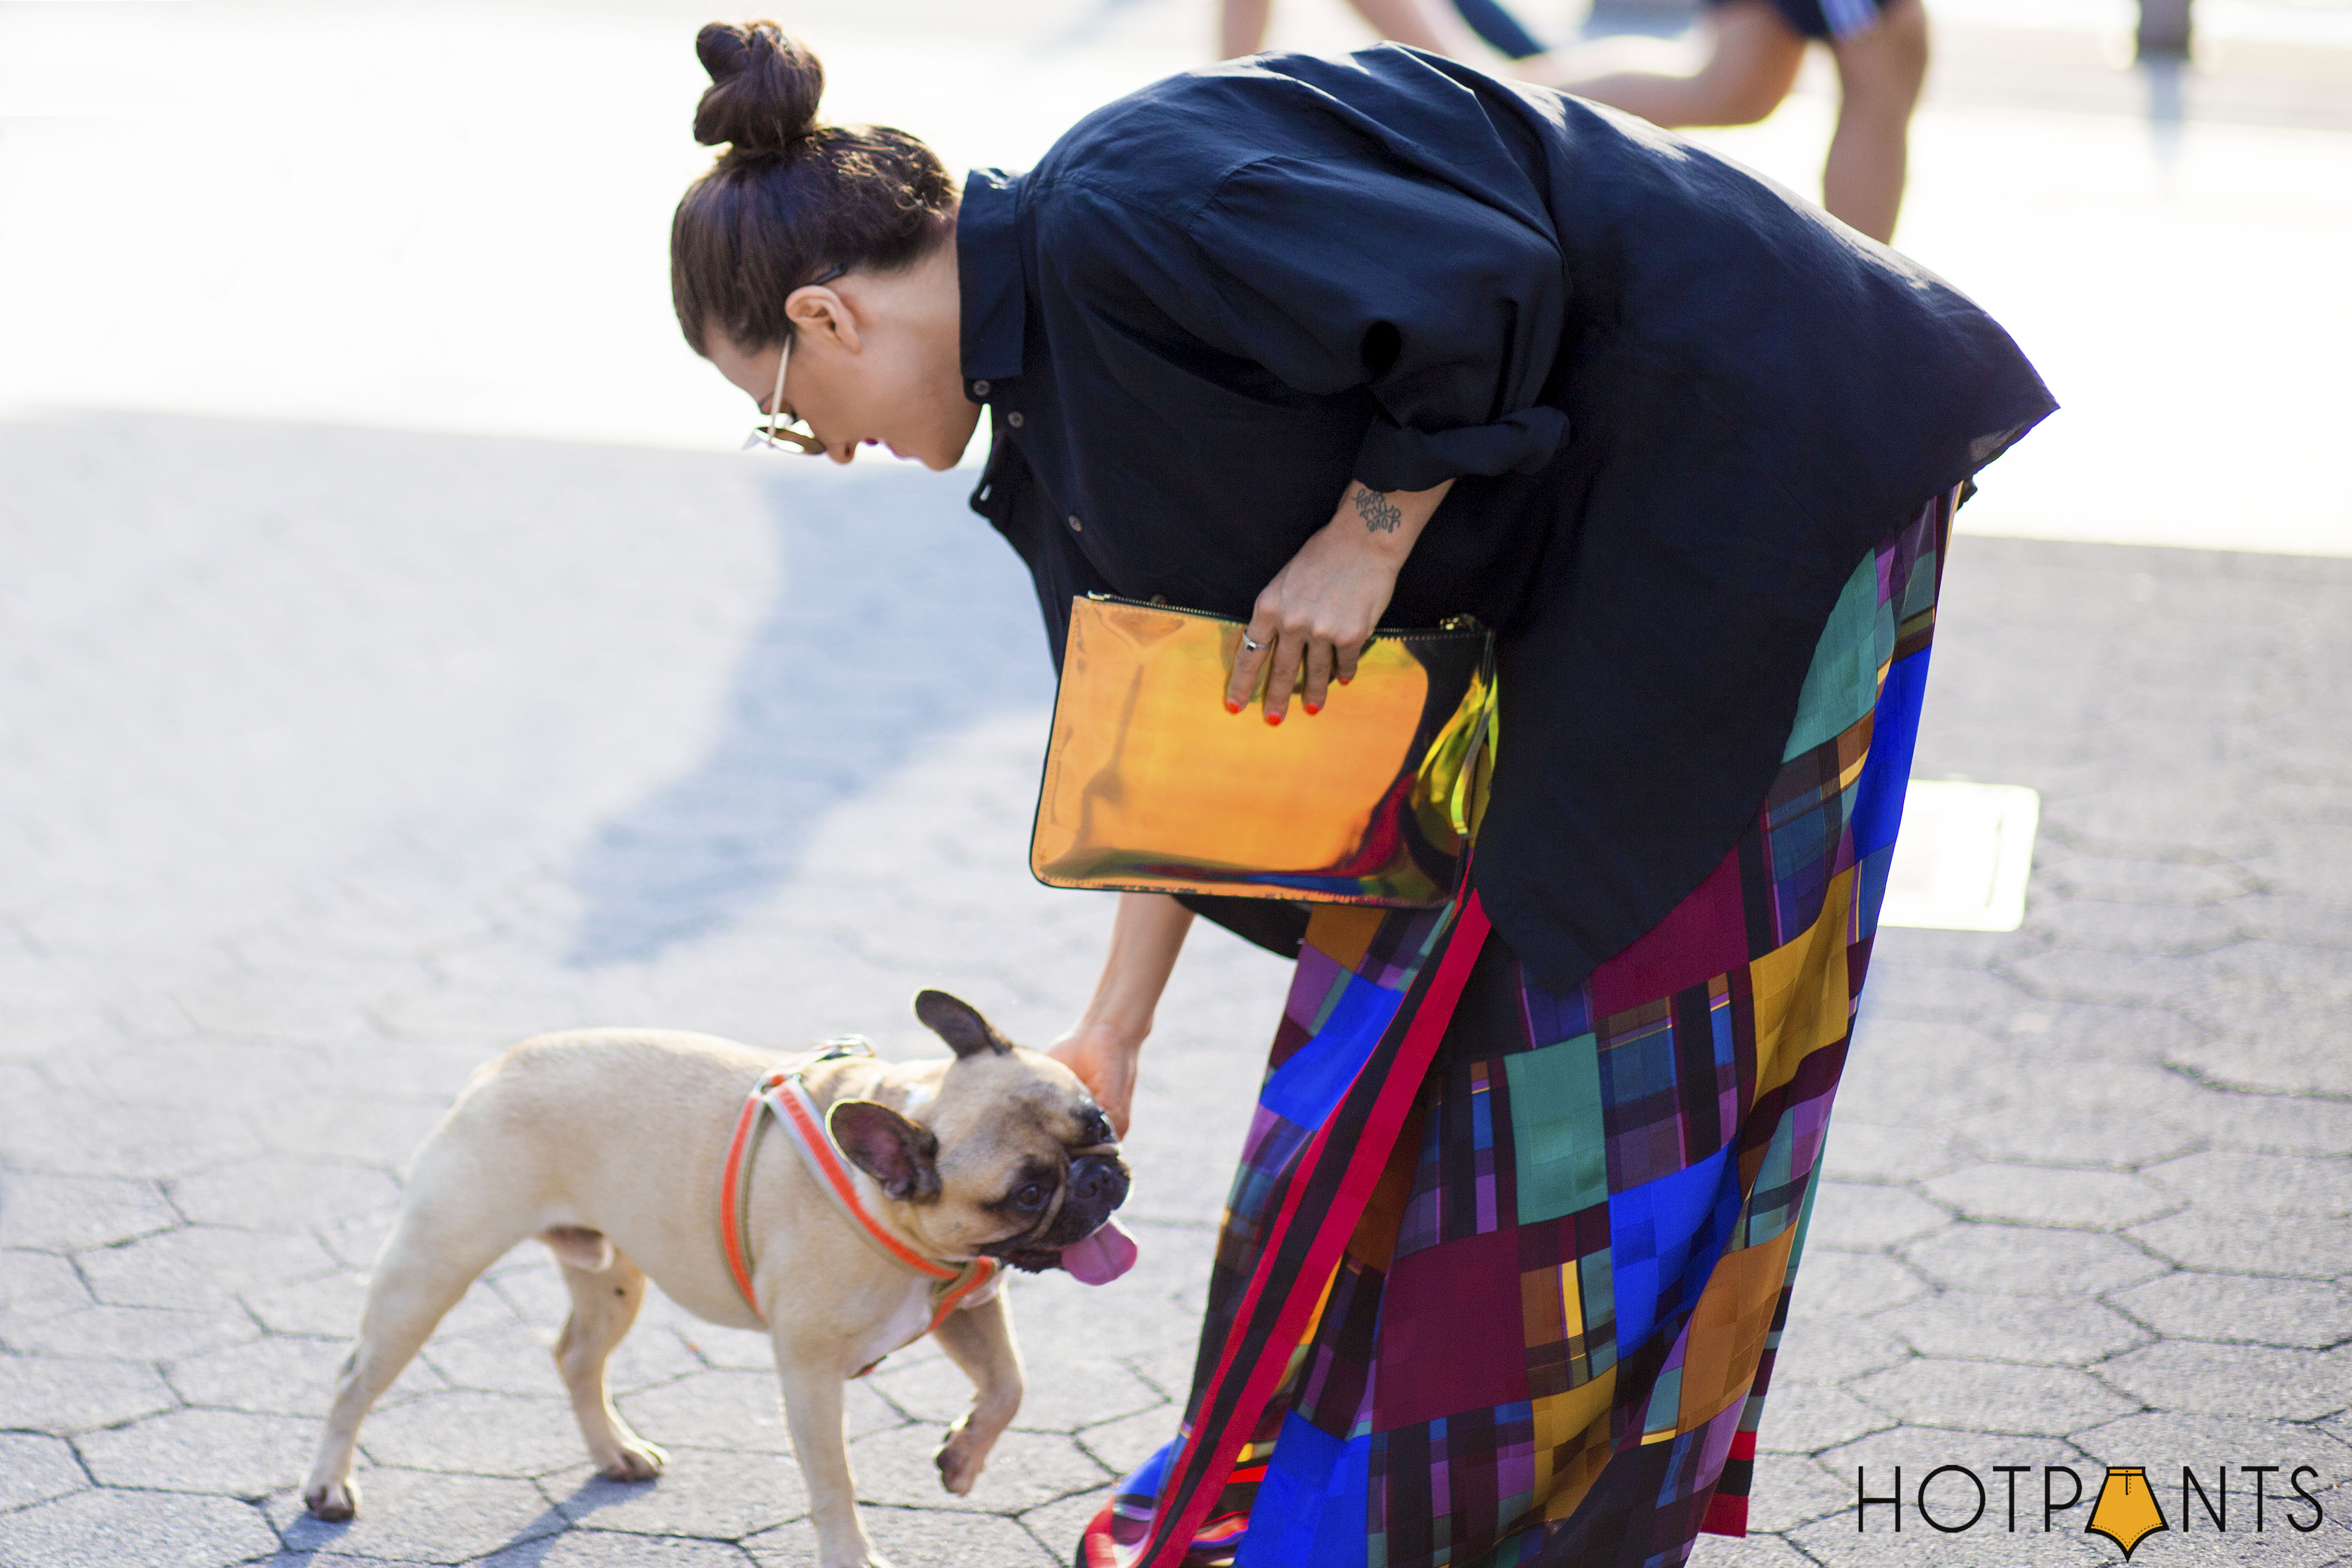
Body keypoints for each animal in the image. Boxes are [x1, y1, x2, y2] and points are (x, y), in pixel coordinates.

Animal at [306, 992, 1138, 1568]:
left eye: (1097, 1120)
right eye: (1026, 1192)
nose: (1097, 1176)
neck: (885, 1198)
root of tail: (501, 1063)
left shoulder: (969, 1306)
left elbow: (1008, 1385)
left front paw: (962, 1458)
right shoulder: (810, 1375)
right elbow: (833, 1480)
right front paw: (852, 1554)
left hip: (614, 1279)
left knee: (576, 1356)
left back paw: (617, 1450)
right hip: (433, 1269)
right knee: (353, 1376)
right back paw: (328, 1488)